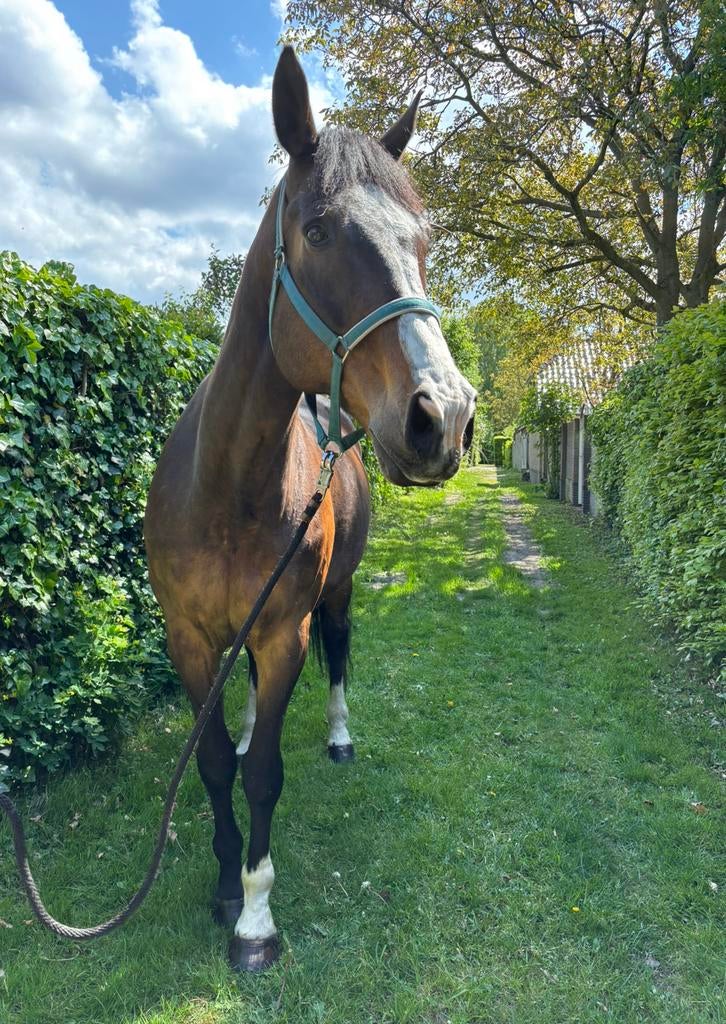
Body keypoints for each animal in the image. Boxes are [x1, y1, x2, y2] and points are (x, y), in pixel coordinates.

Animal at [143, 45, 476, 972]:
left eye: (422, 241)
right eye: (320, 230)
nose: (444, 415)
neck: (226, 489)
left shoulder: (284, 627)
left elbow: (264, 777)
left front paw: (255, 916)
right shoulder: (190, 637)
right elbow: (216, 764)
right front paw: (225, 883)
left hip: (332, 600)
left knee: (337, 656)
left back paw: (335, 733)